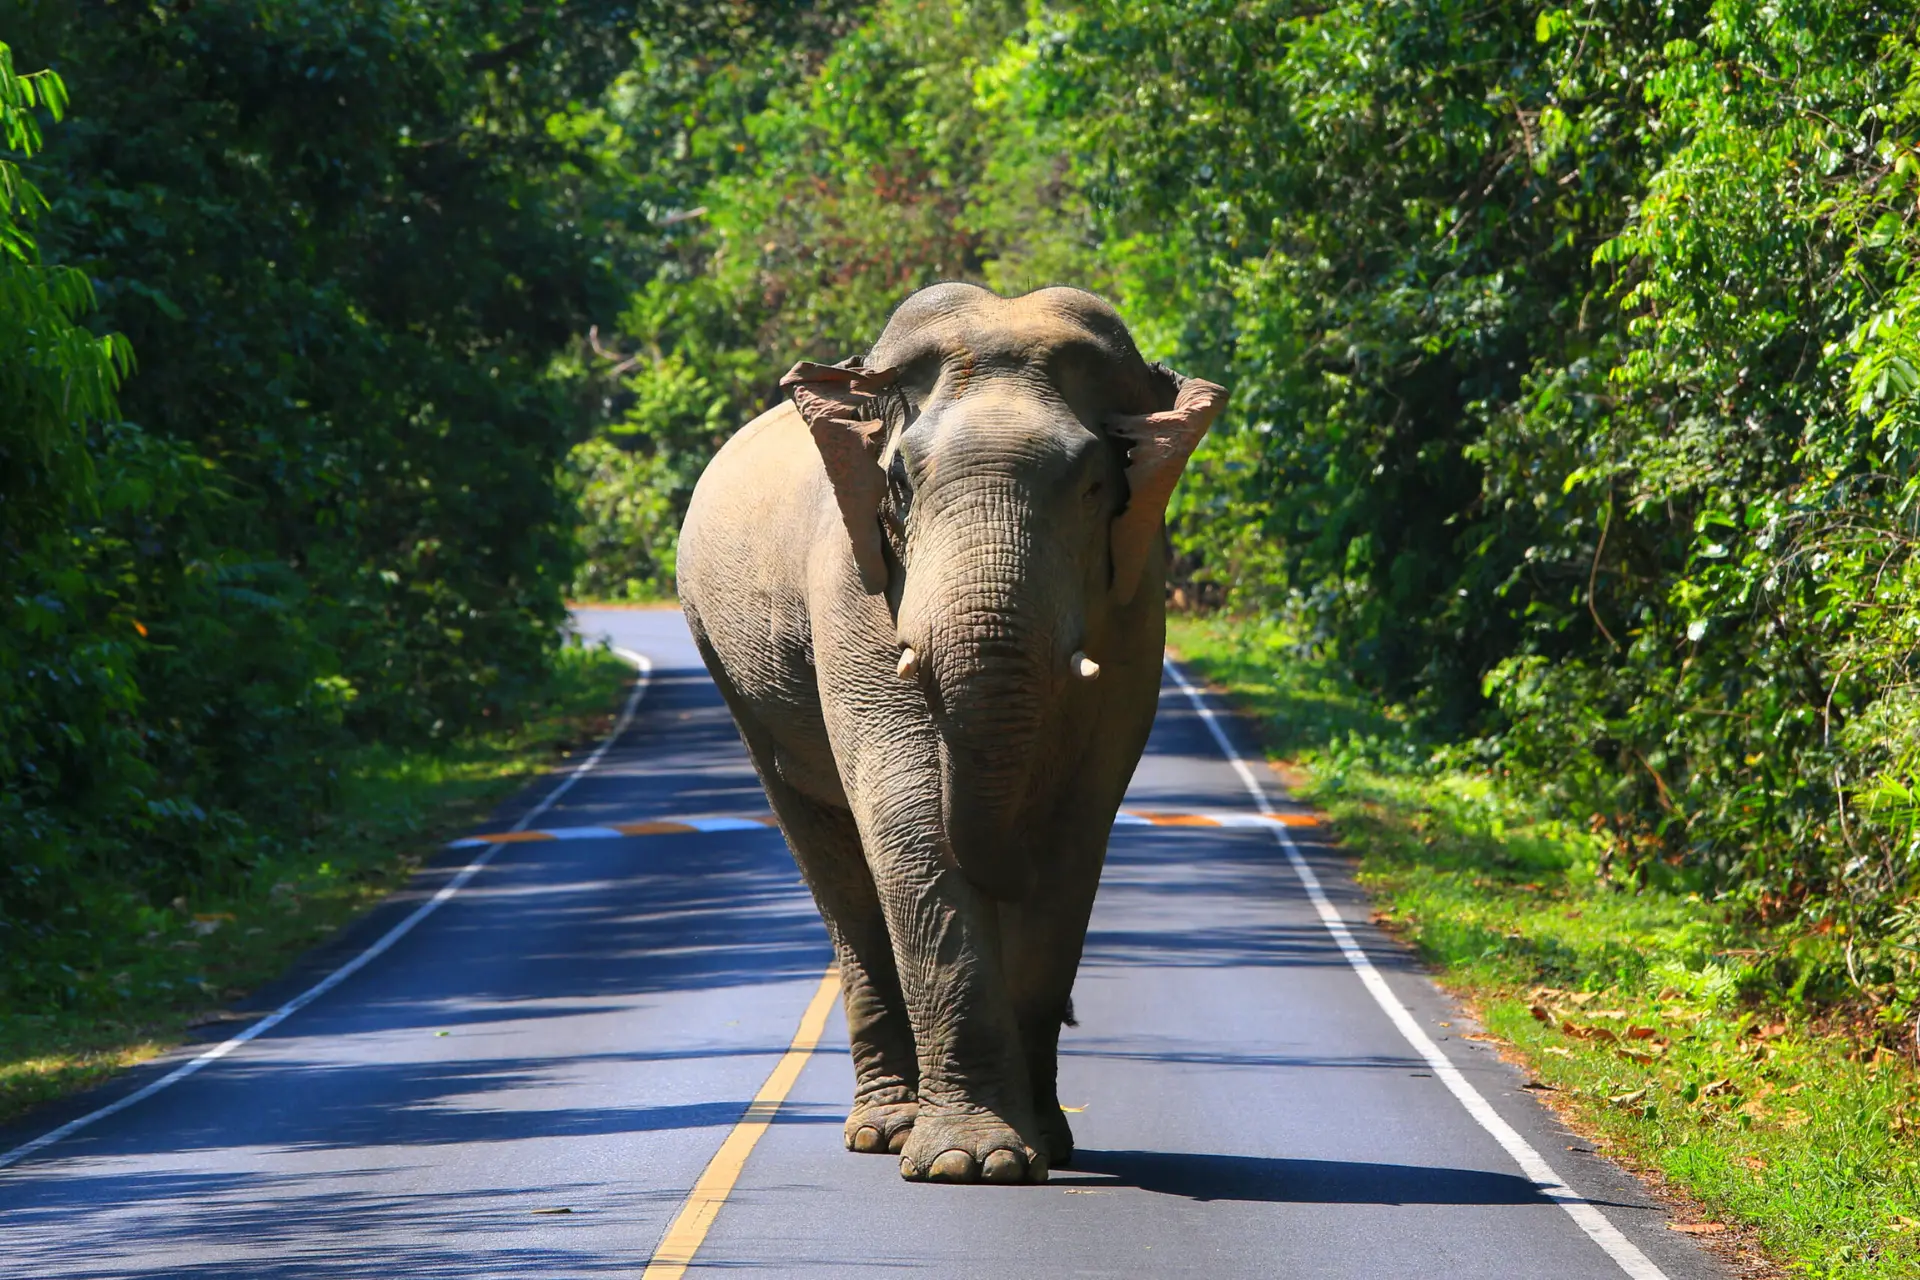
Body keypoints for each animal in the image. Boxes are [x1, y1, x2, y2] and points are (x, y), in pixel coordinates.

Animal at [676, 283, 1225, 1185]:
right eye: (899, 481)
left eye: (1091, 484)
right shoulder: (853, 588)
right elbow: (912, 819)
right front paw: (974, 1164)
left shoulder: (1138, 603)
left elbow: (1077, 829)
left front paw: (1039, 1148)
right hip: (728, 666)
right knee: (831, 861)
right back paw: (884, 1130)